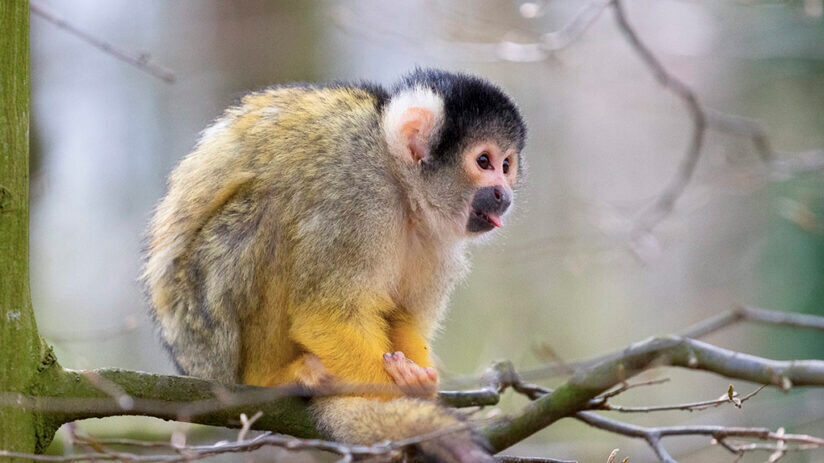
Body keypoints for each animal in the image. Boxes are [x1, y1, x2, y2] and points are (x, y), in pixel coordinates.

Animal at [144, 67, 524, 462]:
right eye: (484, 162)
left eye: (506, 165)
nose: (503, 194)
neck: (401, 186)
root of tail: (192, 363)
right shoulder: (356, 194)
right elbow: (325, 315)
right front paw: (397, 401)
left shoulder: (437, 239)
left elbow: (402, 317)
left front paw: (418, 386)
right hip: (206, 332)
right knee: (270, 210)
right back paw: (269, 379)